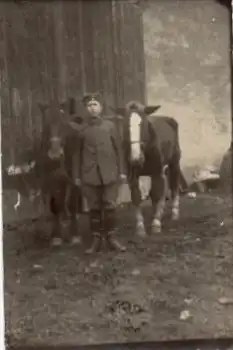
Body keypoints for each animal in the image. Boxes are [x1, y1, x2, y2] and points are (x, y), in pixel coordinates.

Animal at [114, 101, 181, 238]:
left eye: (143, 123)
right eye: (126, 124)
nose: (136, 158)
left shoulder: (157, 172)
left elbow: (156, 193)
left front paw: (156, 223)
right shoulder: (132, 176)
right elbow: (136, 197)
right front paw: (140, 227)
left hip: (174, 162)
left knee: (173, 185)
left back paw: (174, 213)